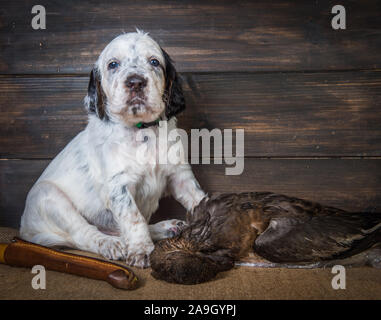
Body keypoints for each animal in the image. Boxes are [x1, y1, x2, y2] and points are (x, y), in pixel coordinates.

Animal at [19, 31, 206, 268]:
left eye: (154, 62)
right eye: (113, 65)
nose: (135, 82)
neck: (143, 131)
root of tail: (25, 230)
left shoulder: (180, 175)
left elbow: (200, 200)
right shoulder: (119, 186)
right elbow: (133, 218)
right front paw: (142, 250)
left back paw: (166, 227)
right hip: (48, 197)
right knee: (84, 234)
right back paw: (110, 244)